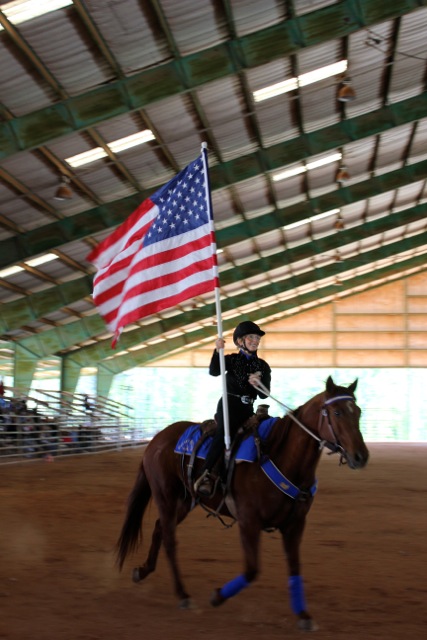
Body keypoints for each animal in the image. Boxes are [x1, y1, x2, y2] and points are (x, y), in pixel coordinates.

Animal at [118, 376, 372, 632]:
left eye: (358, 411)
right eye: (337, 412)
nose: (361, 456)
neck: (279, 455)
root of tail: (157, 439)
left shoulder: (295, 525)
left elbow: (294, 567)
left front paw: (303, 615)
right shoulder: (249, 522)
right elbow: (251, 570)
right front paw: (217, 596)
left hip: (185, 501)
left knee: (159, 529)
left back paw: (142, 571)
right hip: (165, 496)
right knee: (169, 540)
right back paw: (182, 594)